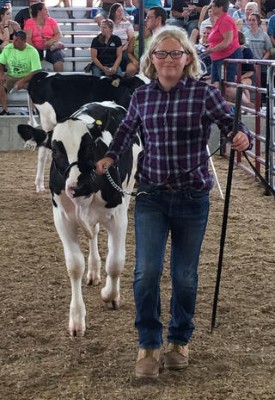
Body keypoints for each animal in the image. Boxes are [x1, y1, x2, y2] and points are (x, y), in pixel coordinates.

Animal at [18, 101, 142, 336]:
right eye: (56, 150)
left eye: (89, 146)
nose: (79, 185)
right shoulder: (62, 220)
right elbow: (74, 266)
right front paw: (76, 319)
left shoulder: (118, 216)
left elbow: (115, 262)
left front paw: (110, 296)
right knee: (93, 234)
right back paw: (93, 271)